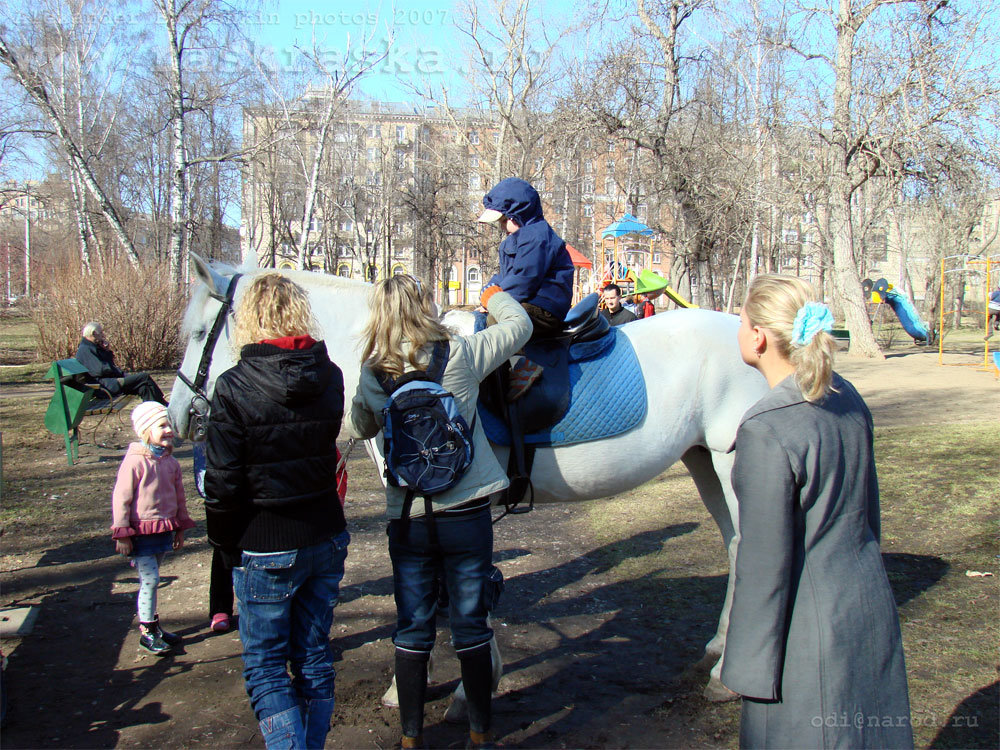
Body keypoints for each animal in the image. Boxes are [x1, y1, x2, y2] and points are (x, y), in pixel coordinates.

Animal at [170, 256, 764, 708]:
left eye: (200, 334)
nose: (178, 416)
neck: (406, 359)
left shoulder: (430, 508)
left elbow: (449, 594)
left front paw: (438, 687)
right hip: (702, 461)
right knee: (737, 545)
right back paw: (718, 649)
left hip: (731, 467)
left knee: (753, 549)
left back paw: (724, 677)